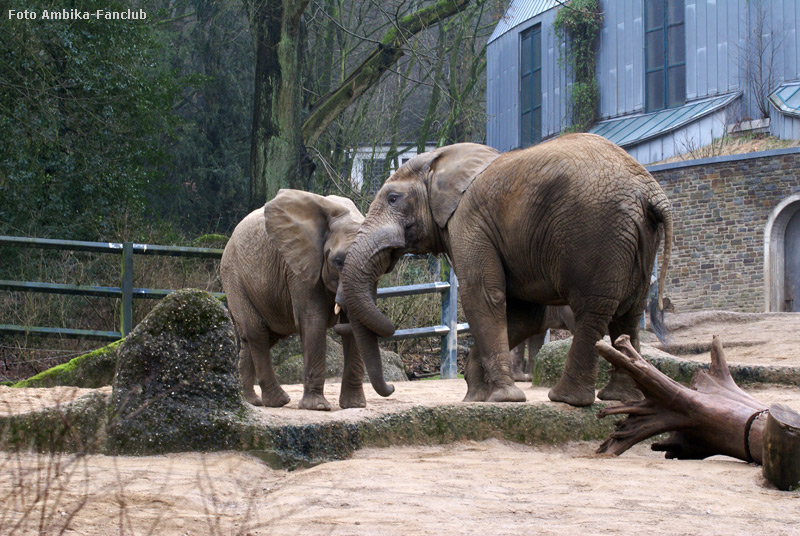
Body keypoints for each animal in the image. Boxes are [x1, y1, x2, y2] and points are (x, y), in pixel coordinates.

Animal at [220, 188, 368, 410]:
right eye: (338, 262)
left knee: (257, 337)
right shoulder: (299, 267)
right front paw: (318, 407)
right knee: (256, 332)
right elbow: (312, 320)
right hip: (234, 277)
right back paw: (278, 401)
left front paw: (354, 406)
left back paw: (251, 401)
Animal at [340, 134, 672, 406]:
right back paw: (621, 398)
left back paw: (566, 399)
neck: (441, 160)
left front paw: (502, 397)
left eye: (393, 198)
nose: (392, 390)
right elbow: (524, 315)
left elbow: (482, 296)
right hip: (637, 237)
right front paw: (476, 396)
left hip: (596, 232)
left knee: (593, 310)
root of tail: (651, 192)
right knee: (629, 312)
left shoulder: (469, 222)